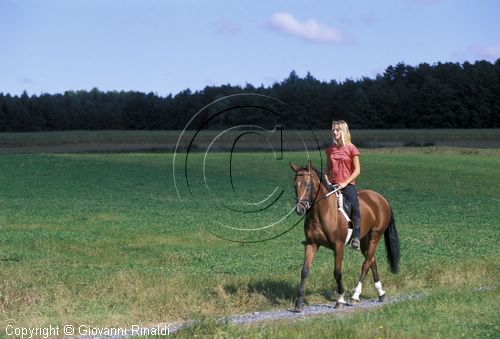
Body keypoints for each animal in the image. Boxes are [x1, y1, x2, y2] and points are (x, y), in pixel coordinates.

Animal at [290, 161, 398, 312]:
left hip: (375, 236)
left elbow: (337, 272)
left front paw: (340, 299)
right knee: (372, 261)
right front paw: (299, 303)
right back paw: (380, 293)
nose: (300, 209)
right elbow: (305, 271)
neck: (321, 213)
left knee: (366, 263)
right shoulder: (312, 244)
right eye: (295, 185)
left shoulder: (338, 246)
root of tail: (381, 198)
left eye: (308, 185)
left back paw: (355, 296)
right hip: (364, 240)